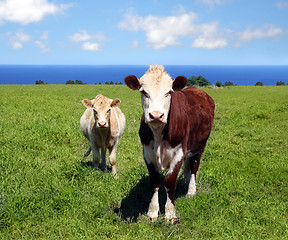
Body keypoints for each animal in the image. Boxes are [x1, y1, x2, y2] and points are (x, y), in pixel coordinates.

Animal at [125, 65, 215, 221]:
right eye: (143, 92)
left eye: (168, 92)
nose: (156, 115)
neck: (158, 133)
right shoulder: (147, 153)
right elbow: (155, 182)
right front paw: (152, 211)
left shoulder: (179, 152)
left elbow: (170, 182)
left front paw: (170, 213)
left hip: (200, 145)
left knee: (194, 166)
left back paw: (191, 190)